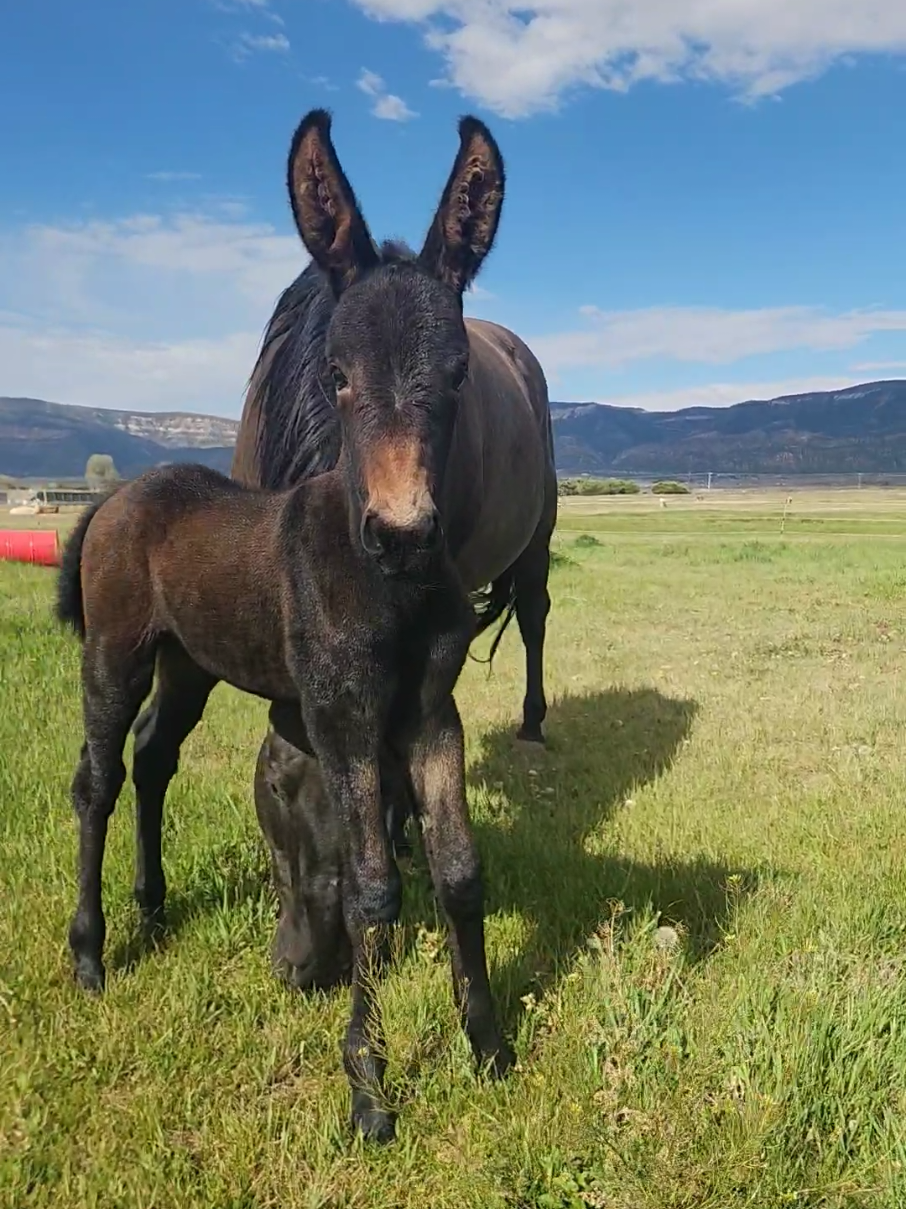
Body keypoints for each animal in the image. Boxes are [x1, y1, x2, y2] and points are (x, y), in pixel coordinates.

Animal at [56, 459, 514, 1143]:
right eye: (273, 787)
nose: (293, 969)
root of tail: (112, 500)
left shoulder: (424, 710)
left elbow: (453, 867)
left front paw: (486, 1046)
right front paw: (370, 1086)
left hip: (188, 663)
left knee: (155, 756)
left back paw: (152, 906)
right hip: (114, 656)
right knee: (98, 781)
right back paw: (90, 955)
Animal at [223, 107, 557, 988]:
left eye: (459, 374)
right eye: (338, 372)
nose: (301, 965)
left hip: (538, 540)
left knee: (536, 618)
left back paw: (535, 722)